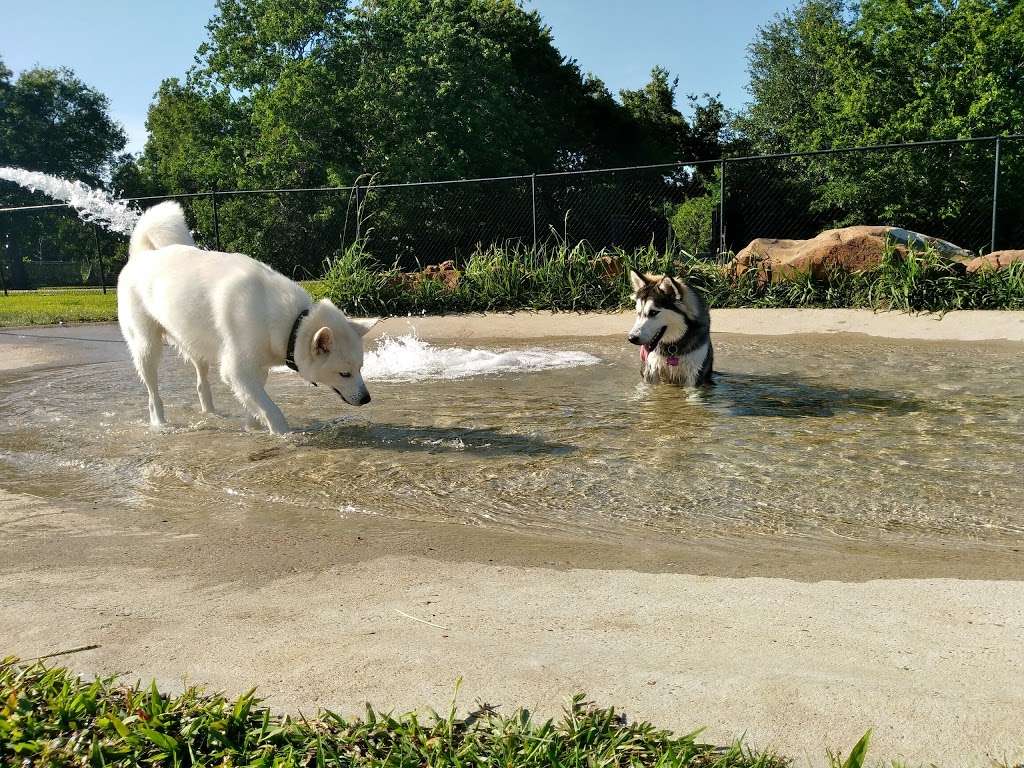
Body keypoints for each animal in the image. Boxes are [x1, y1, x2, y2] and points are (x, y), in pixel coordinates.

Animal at [118, 201, 376, 436]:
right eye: (344, 373)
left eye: (361, 367)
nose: (367, 399)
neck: (291, 323)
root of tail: (142, 254)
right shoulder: (238, 370)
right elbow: (270, 409)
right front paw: (283, 435)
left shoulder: (257, 369)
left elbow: (255, 404)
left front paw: (252, 428)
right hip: (147, 348)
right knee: (153, 394)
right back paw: (160, 424)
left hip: (196, 345)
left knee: (201, 384)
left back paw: (212, 414)